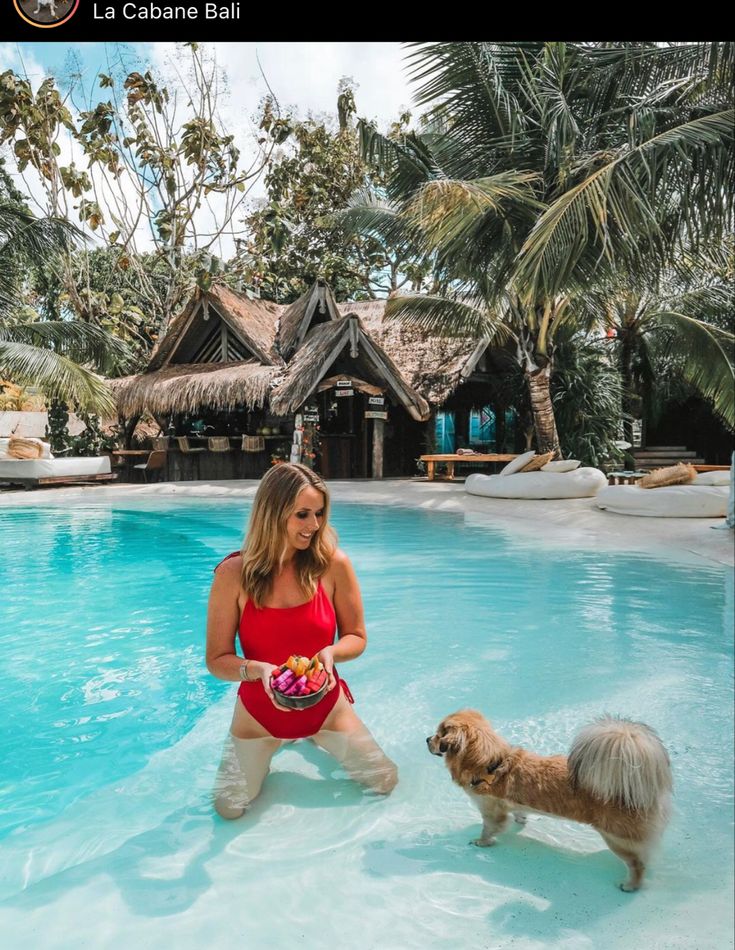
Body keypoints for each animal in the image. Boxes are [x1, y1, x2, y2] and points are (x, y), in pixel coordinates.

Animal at [426, 712, 672, 888]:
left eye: (439, 736)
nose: (427, 739)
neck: (490, 764)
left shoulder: (491, 812)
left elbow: (489, 829)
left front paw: (482, 842)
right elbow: (519, 812)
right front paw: (521, 820)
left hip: (615, 838)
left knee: (637, 864)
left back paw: (631, 885)